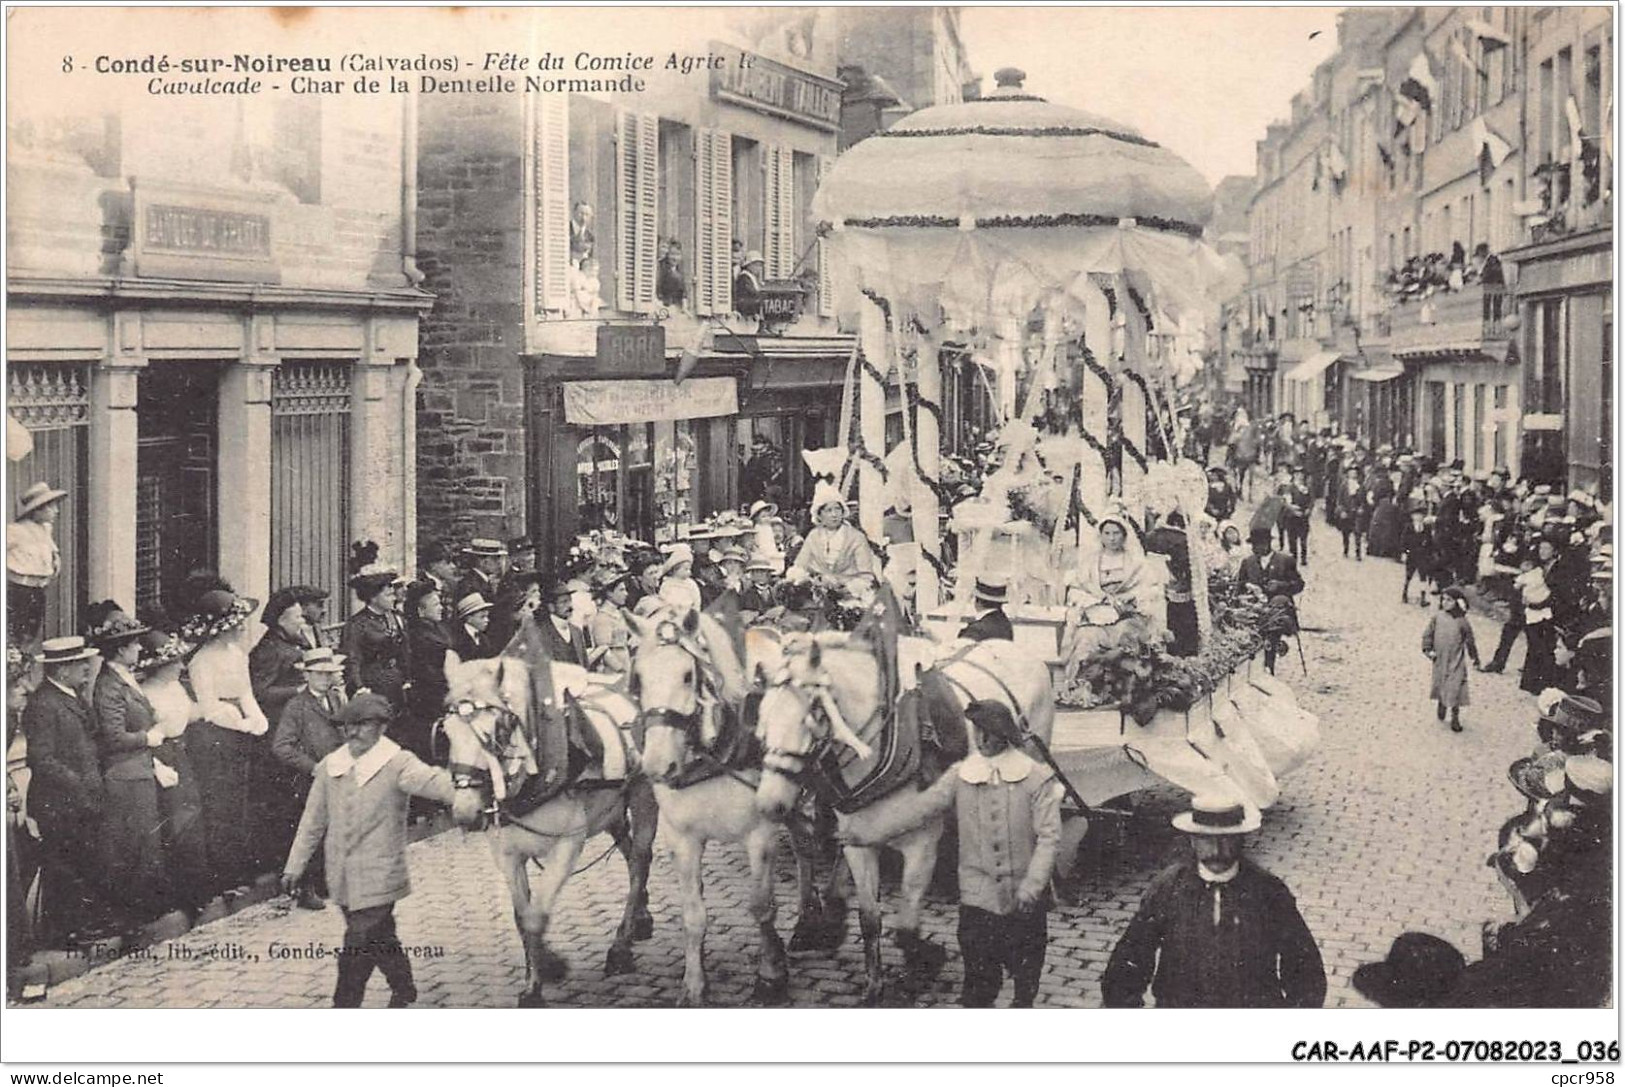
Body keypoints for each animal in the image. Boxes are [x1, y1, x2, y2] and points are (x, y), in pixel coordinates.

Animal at [438, 617, 659, 1007]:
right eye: (447, 732)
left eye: (497, 730)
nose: (465, 813)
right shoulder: (507, 855)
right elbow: (521, 915)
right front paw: (539, 972)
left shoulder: (566, 847)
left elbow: (537, 916)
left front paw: (546, 972)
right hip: (611, 811)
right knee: (630, 852)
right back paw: (640, 919)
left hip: (643, 799)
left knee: (640, 861)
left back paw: (620, 946)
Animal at [757, 630, 1059, 1007]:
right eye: (762, 714)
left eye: (812, 715)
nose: (769, 803)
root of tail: (1015, 647)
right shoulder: (859, 842)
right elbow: (870, 919)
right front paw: (873, 986)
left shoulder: (922, 844)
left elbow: (906, 926)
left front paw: (924, 961)